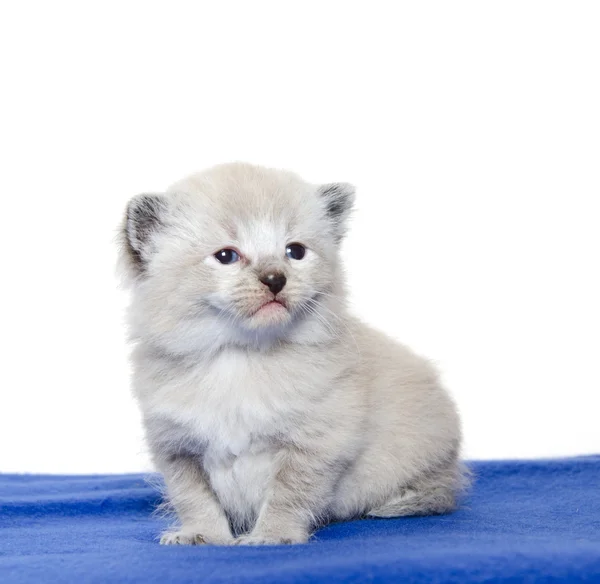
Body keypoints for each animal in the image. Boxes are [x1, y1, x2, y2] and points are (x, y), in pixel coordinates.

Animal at [116, 162, 464, 544]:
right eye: (226, 256)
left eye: (294, 251)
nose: (274, 279)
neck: (241, 357)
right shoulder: (178, 450)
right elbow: (194, 498)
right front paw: (201, 535)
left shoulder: (315, 445)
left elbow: (289, 495)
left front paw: (272, 536)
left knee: (442, 490)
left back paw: (397, 503)